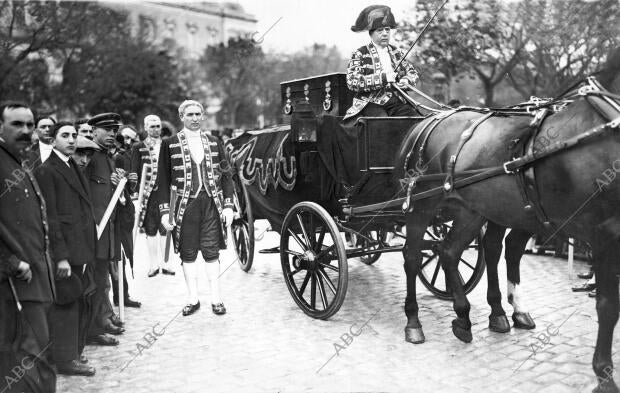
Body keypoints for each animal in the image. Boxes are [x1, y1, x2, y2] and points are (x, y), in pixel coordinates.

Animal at [398, 48, 620, 388]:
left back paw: (467, 316)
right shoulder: (605, 236)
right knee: (412, 255)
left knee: (451, 251)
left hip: (476, 209)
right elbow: (609, 305)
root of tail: (431, 119)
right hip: (424, 205)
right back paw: (414, 321)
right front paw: (604, 373)